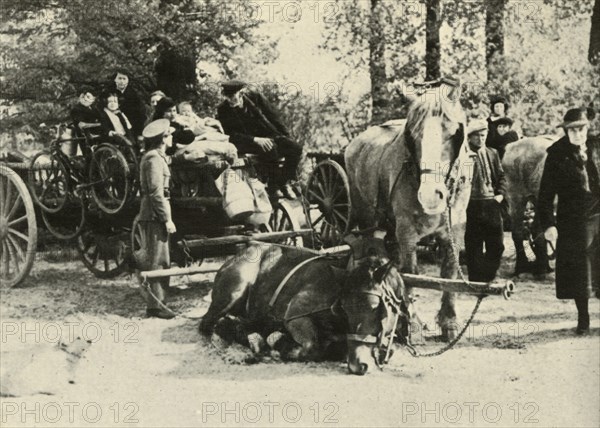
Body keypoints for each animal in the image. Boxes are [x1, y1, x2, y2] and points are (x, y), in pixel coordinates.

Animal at [344, 81, 472, 342]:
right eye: (413, 136)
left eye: (452, 134)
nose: (430, 195)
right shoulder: (407, 231)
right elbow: (411, 272)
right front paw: (411, 324)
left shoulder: (455, 230)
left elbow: (449, 274)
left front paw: (449, 323)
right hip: (366, 214)